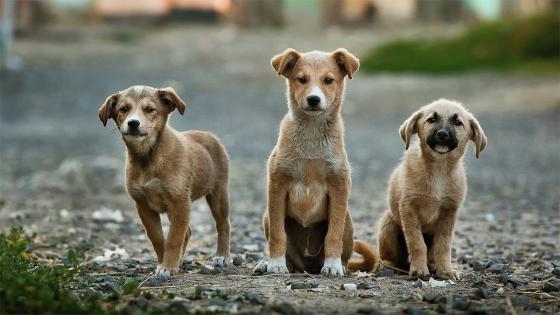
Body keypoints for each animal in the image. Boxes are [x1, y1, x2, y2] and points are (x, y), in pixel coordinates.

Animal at [99, 85, 231, 278]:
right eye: (124, 109)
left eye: (149, 109)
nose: (133, 123)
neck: (148, 158)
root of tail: (208, 135)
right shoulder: (143, 206)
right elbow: (158, 238)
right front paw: (165, 263)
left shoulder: (179, 203)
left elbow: (173, 238)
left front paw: (168, 266)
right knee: (188, 232)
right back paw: (181, 260)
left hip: (218, 193)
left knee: (223, 224)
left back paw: (222, 256)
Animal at [260, 47, 378, 276]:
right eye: (301, 79)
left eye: (328, 80)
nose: (314, 99)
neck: (311, 135)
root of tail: (309, 266)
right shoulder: (277, 185)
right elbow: (278, 235)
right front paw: (276, 264)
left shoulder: (339, 186)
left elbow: (333, 234)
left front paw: (332, 265)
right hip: (267, 217)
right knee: (291, 258)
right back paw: (270, 264)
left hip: (348, 220)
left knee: (343, 249)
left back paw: (339, 265)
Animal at [376, 100, 486, 280]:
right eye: (431, 119)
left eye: (458, 122)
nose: (442, 134)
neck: (439, 170)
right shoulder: (409, 208)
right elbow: (416, 242)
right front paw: (419, 270)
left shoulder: (449, 212)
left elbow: (444, 245)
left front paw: (445, 270)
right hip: (388, 224)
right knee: (390, 257)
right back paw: (390, 266)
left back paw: (433, 265)